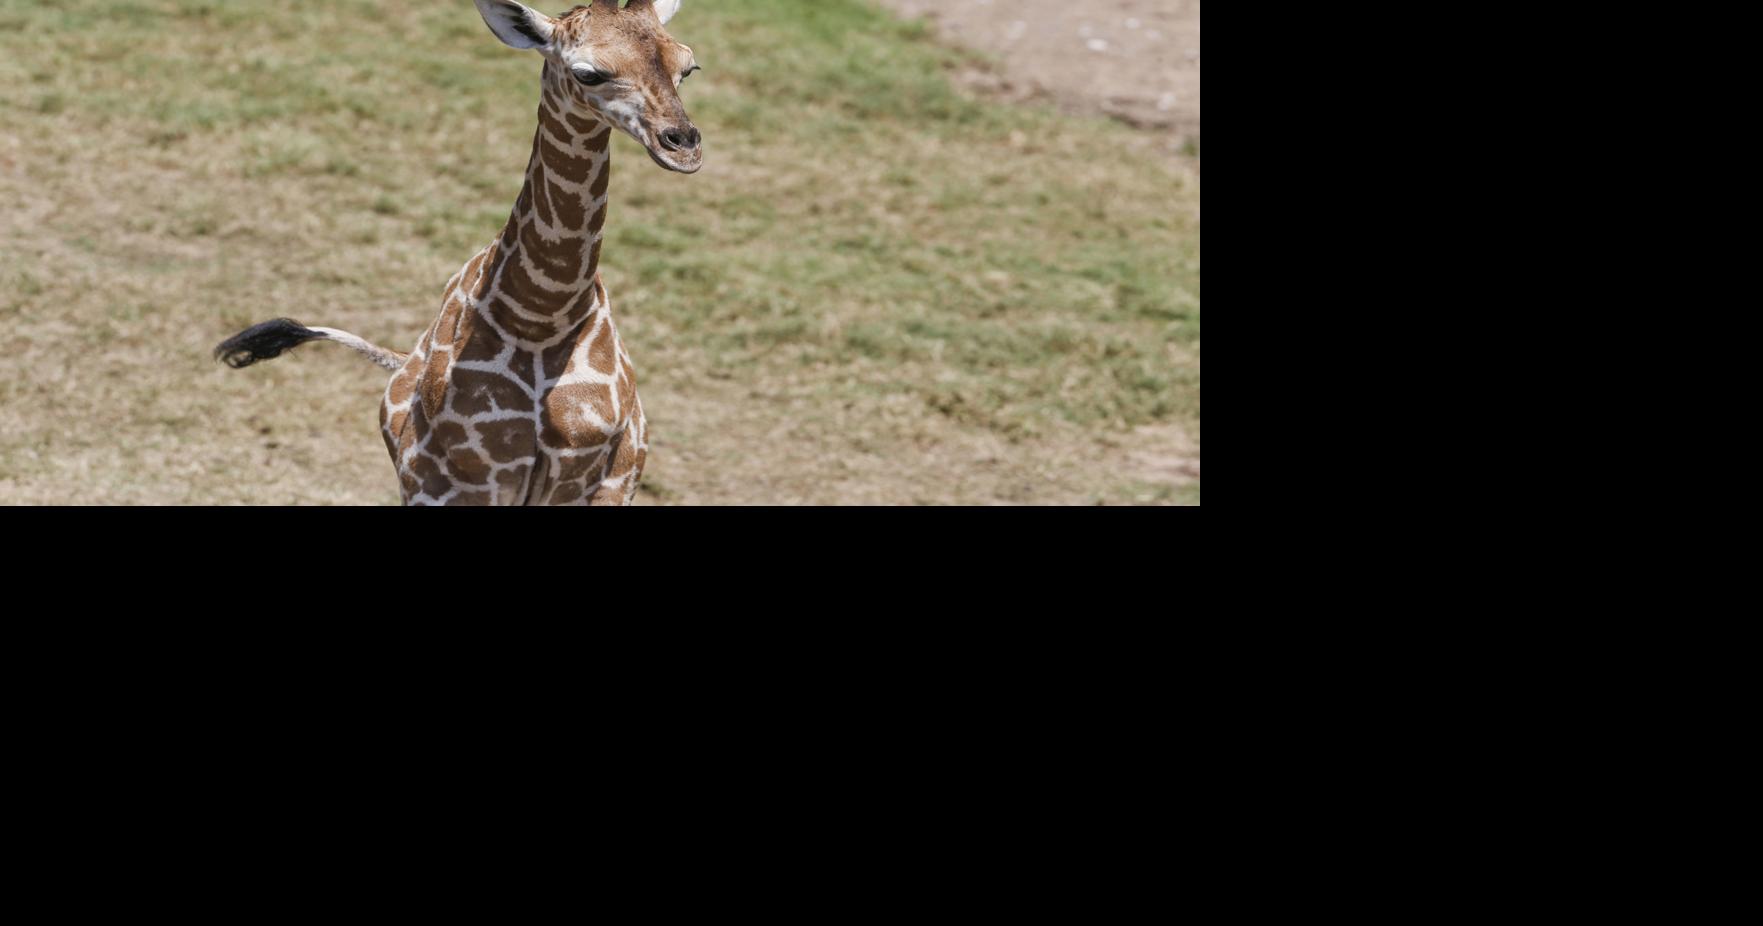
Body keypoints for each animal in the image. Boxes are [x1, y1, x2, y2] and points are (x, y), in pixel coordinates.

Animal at [213, 0, 702, 506]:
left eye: (687, 67)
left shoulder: (604, 480)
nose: (683, 145)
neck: (542, 315)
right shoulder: (465, 483)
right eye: (588, 73)